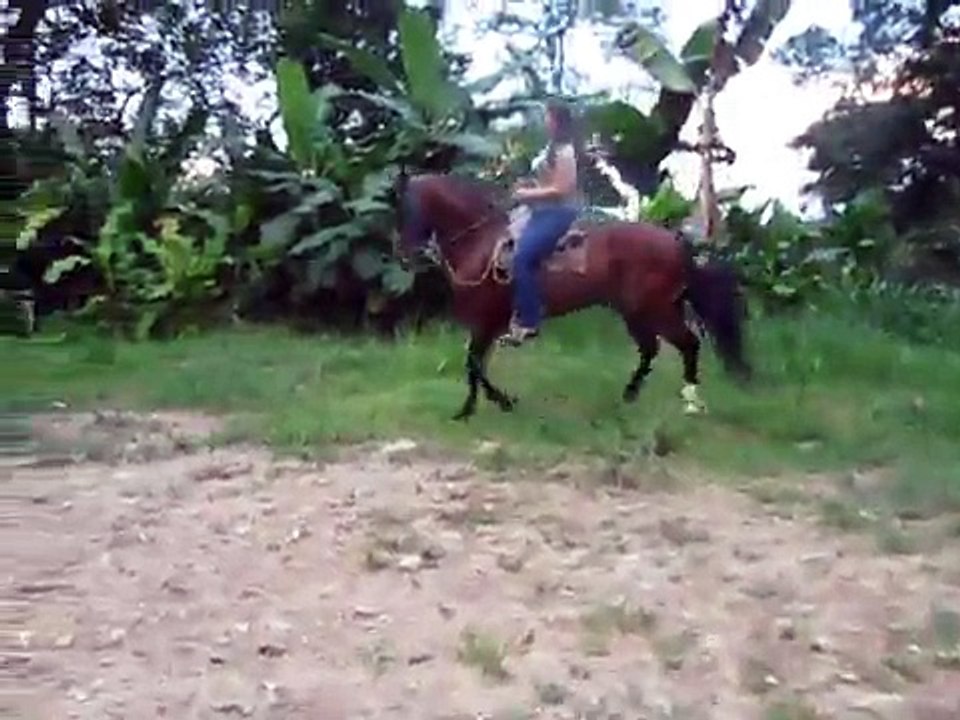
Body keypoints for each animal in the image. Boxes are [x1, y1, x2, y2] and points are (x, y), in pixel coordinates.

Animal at [394, 170, 751, 420]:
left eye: (406, 209)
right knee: (651, 350)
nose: (406, 254)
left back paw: (690, 403)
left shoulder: (487, 321)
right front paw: (470, 409)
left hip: (654, 309)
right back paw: (629, 397)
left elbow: (473, 364)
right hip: (639, 311)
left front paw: (500, 403)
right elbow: (475, 365)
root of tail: (676, 242)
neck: (481, 242)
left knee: (688, 344)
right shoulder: (487, 325)